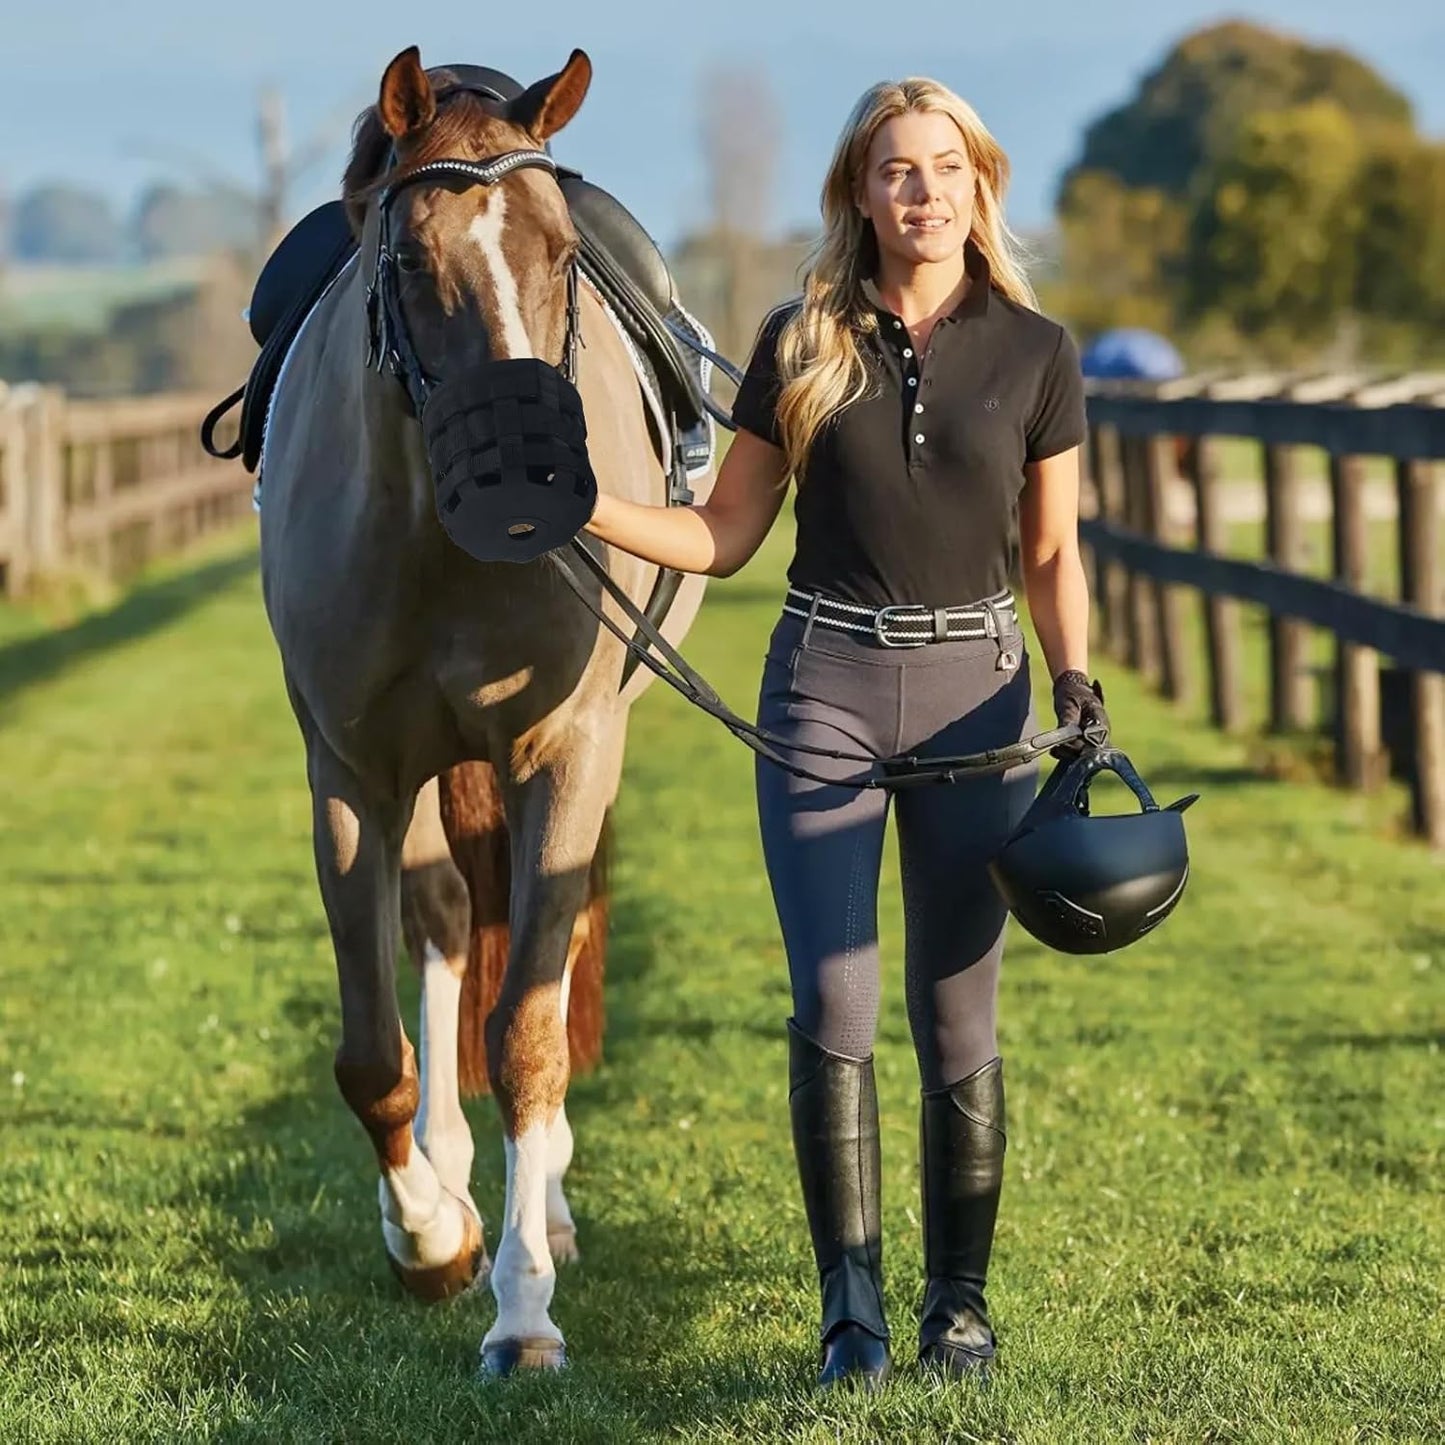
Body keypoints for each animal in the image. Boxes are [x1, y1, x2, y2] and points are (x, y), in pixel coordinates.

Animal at [256, 45, 713, 1374]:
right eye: (409, 262)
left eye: (560, 255)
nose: (525, 482)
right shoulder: (351, 774)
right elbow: (374, 1051)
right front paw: (430, 1236)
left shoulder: (563, 752)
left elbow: (527, 1036)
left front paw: (522, 1308)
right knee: (450, 922)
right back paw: (454, 1184)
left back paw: (540, 1206)